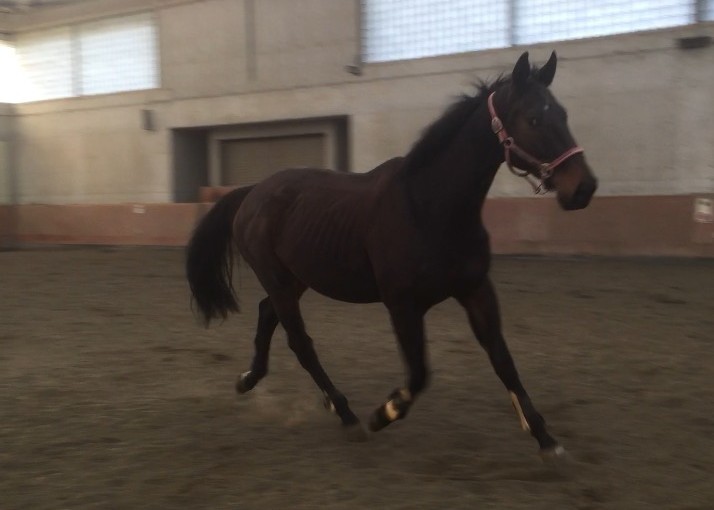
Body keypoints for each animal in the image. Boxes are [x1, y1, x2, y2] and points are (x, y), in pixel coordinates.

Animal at [186, 51, 598, 461]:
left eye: (562, 114)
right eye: (533, 119)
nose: (583, 188)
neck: (428, 207)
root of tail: (253, 192)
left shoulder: (476, 290)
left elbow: (504, 361)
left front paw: (546, 438)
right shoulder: (402, 304)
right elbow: (418, 374)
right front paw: (385, 412)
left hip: (296, 279)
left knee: (266, 314)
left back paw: (248, 380)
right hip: (280, 280)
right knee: (300, 343)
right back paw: (347, 415)